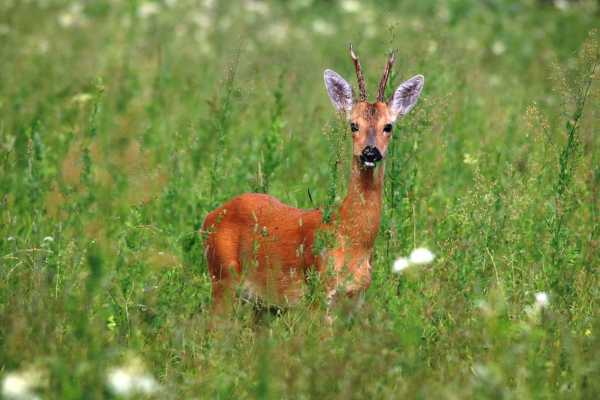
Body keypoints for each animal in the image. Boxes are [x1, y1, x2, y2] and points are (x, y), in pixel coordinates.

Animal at [202, 46, 422, 312]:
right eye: (353, 125)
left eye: (388, 126)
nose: (370, 152)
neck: (350, 239)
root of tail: (209, 217)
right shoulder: (318, 293)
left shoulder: (355, 301)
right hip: (222, 278)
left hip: (260, 305)